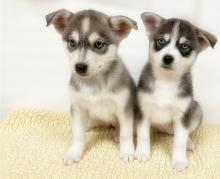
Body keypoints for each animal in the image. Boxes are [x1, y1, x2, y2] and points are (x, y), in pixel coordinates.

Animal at [45, 9, 137, 164]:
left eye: (99, 44)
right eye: (72, 42)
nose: (80, 67)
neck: (94, 83)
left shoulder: (123, 108)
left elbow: (126, 133)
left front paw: (127, 152)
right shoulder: (78, 107)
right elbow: (77, 134)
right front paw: (74, 153)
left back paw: (116, 134)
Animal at [136, 12, 217, 171]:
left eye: (184, 46)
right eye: (161, 41)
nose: (168, 58)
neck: (166, 81)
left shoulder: (182, 115)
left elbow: (180, 141)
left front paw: (179, 160)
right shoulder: (144, 110)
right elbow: (143, 134)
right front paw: (142, 153)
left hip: (196, 109)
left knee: (184, 134)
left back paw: (189, 143)